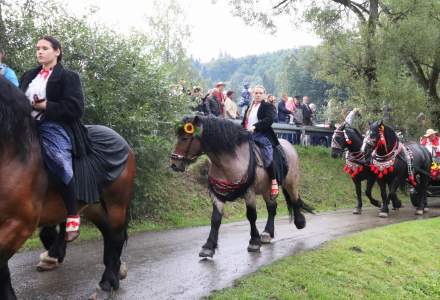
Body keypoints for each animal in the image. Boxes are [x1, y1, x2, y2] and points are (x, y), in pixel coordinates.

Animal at [0, 78, 136, 300]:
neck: (14, 155)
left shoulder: (19, 224)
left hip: (117, 202)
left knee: (115, 235)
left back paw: (107, 282)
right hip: (93, 205)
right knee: (108, 232)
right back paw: (115, 272)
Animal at [170, 116, 312, 258]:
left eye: (185, 138)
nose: (174, 164)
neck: (229, 162)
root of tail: (288, 145)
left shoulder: (249, 193)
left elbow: (251, 216)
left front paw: (254, 242)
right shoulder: (217, 195)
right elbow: (215, 219)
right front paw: (208, 247)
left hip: (291, 182)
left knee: (294, 199)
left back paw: (300, 222)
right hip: (267, 189)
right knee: (272, 207)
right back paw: (267, 233)